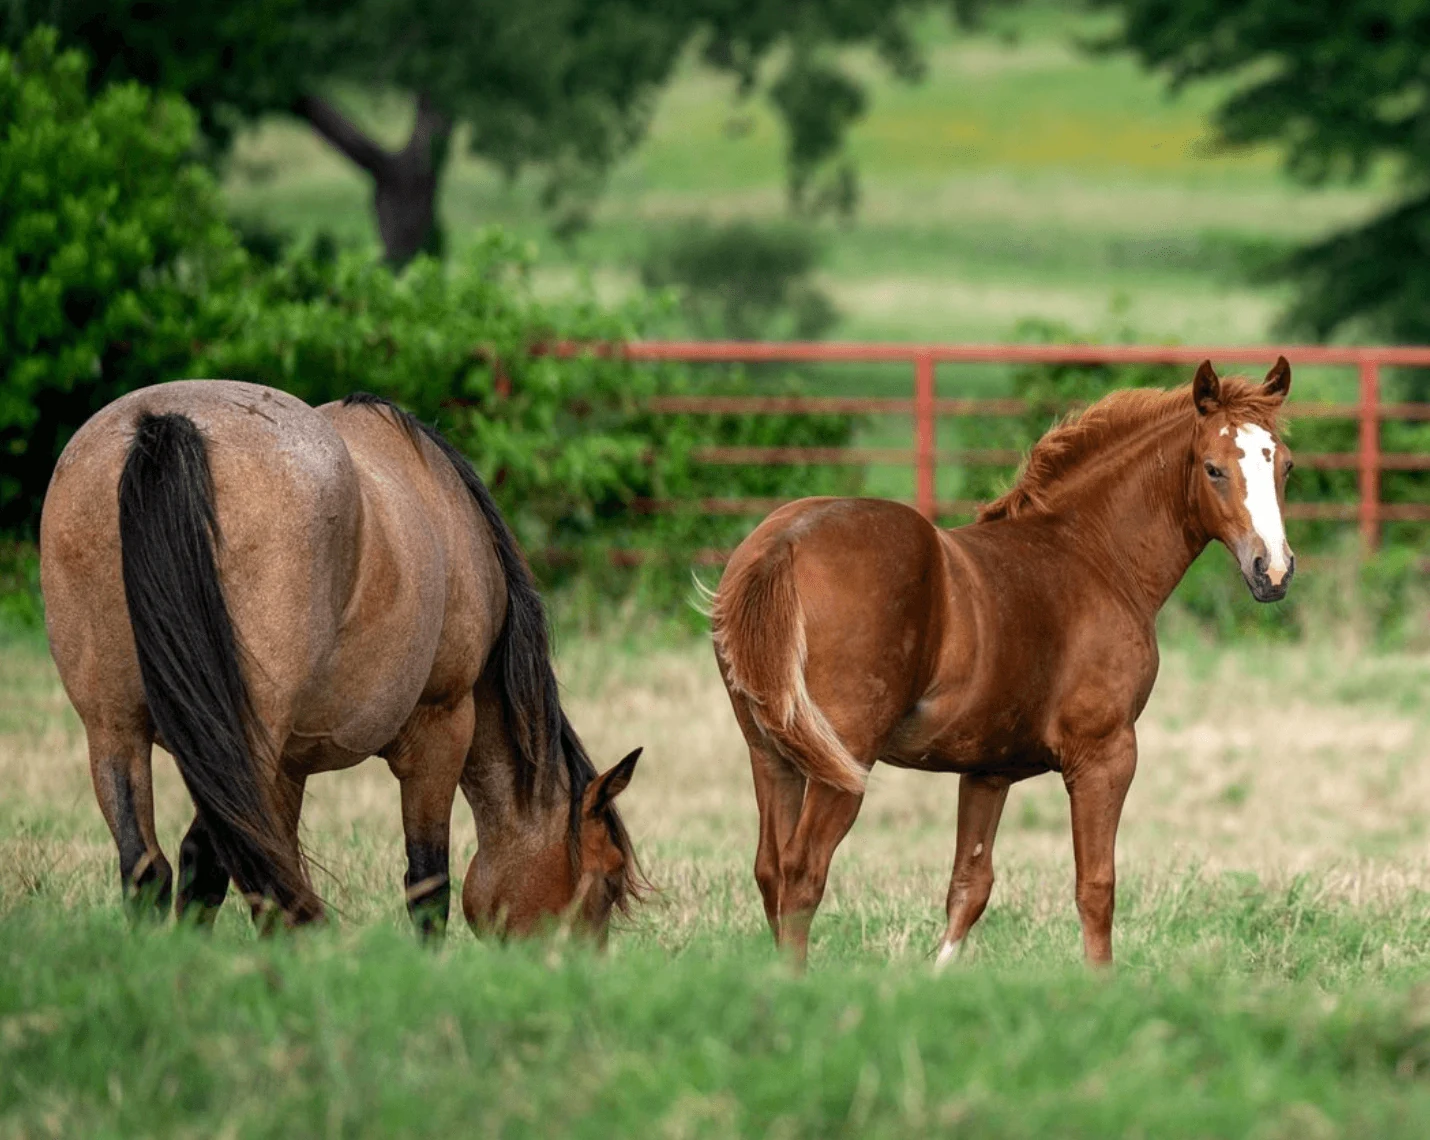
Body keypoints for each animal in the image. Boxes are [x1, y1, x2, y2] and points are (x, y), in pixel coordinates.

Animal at [40, 380, 643, 937]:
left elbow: (275, 884)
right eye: (608, 879)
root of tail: (164, 426)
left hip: (115, 729)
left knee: (150, 868)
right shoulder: (441, 731)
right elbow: (427, 883)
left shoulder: (287, 768)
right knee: (202, 863)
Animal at [710, 358, 1296, 966]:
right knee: (803, 871)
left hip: (772, 753)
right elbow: (1096, 888)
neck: (1094, 554)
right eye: (1213, 469)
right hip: (842, 759)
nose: (1273, 571)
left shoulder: (987, 769)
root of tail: (784, 544)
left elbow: (968, 888)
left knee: (771, 869)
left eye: (1286, 466)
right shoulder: (1105, 755)